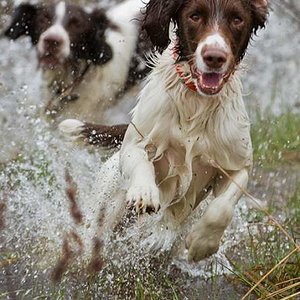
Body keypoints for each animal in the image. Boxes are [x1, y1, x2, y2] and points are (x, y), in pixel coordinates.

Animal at [60, 0, 268, 262]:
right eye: (195, 16)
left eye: (237, 19)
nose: (214, 57)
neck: (196, 102)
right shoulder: (137, 142)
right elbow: (141, 160)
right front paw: (145, 192)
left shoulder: (236, 164)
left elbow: (222, 208)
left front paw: (202, 243)